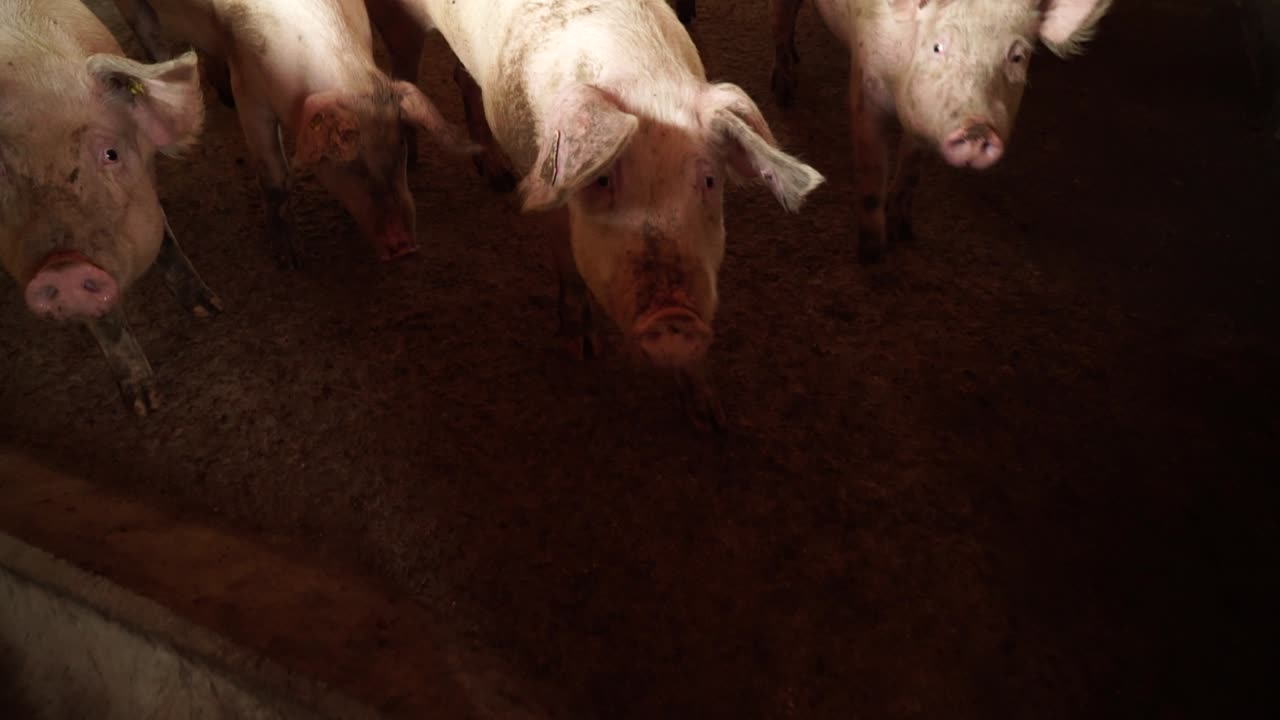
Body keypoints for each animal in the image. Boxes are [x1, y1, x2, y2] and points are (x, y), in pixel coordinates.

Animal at [1, 0, 220, 416]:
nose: (63, 267)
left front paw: (208, 308)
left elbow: (165, 237)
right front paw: (145, 406)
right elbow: (105, 321)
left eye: (111, 154)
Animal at [110, 0, 475, 268]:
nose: (404, 247)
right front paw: (291, 260)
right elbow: (275, 176)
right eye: (347, 163)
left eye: (400, 148)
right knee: (150, 34)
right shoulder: (251, 93)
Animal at [382, 0, 824, 430]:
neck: (645, 87)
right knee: (403, 77)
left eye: (710, 180)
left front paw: (711, 419)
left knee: (462, 78)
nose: (674, 315)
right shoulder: (551, 191)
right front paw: (580, 349)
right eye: (602, 179)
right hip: (399, 22)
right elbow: (568, 267)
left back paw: (499, 177)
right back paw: (417, 161)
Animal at [770, 0, 1112, 261]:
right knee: (783, 19)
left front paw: (904, 232)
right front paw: (872, 255)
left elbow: (911, 168)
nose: (977, 129)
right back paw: (783, 92)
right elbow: (872, 170)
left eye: (1017, 57)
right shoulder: (865, 87)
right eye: (937, 47)